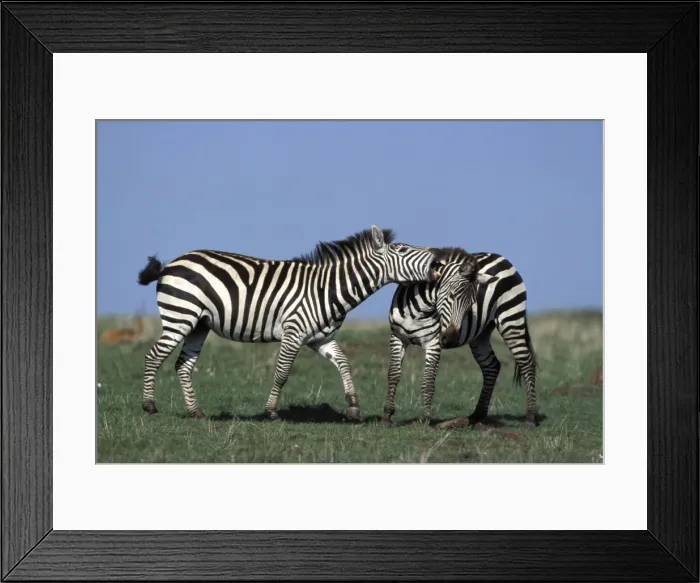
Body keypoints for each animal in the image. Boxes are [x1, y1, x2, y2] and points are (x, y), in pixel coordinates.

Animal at [136, 225, 444, 422]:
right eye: (401, 250)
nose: (438, 258)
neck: (326, 289)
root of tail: (170, 264)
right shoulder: (294, 332)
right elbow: (282, 372)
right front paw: (271, 412)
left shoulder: (320, 338)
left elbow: (345, 364)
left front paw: (354, 408)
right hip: (180, 315)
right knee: (153, 356)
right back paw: (149, 406)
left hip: (199, 324)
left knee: (182, 365)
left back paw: (195, 412)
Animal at [381, 247, 540, 428]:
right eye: (450, 295)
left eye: (471, 304)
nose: (450, 339)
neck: (419, 310)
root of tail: (501, 257)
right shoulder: (397, 337)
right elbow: (393, 374)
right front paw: (387, 416)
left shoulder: (433, 342)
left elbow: (428, 381)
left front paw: (426, 420)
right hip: (480, 335)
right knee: (491, 366)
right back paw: (476, 416)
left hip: (511, 319)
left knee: (526, 362)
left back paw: (530, 417)